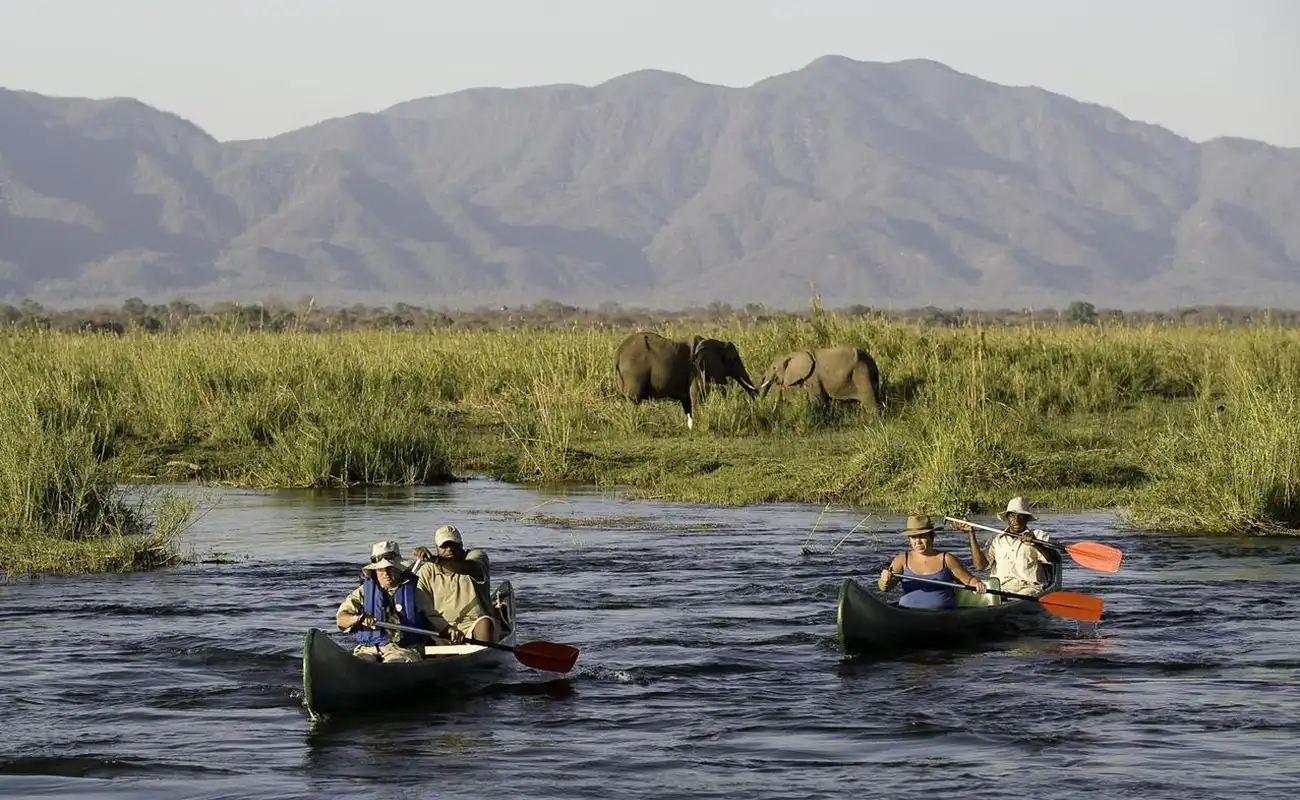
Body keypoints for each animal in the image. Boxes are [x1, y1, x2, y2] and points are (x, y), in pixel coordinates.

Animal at [611, 331, 759, 431]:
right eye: (733, 359)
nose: (756, 399)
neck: (715, 342)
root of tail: (618, 354)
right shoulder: (696, 369)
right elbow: (696, 396)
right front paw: (698, 427)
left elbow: (687, 401)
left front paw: (691, 427)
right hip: (633, 373)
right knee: (633, 401)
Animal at [754, 343, 883, 411]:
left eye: (774, 368)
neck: (793, 354)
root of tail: (873, 363)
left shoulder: (813, 377)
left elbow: (817, 398)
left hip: (861, 373)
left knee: (869, 400)